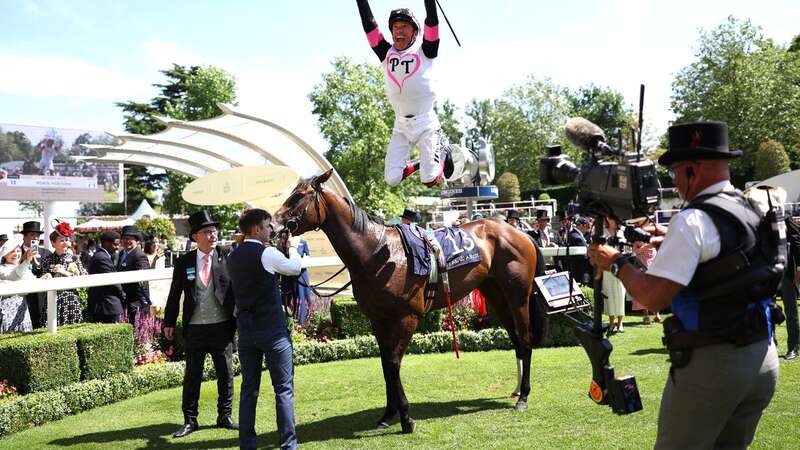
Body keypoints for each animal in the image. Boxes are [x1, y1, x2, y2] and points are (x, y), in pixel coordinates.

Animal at [276, 169, 544, 432]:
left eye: (298, 196)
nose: (276, 222)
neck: (377, 253)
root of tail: (519, 233)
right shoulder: (378, 319)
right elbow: (386, 365)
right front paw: (388, 414)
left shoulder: (407, 317)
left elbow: (394, 363)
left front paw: (406, 417)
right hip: (495, 297)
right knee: (516, 340)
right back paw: (517, 390)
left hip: (518, 296)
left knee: (525, 339)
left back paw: (523, 396)